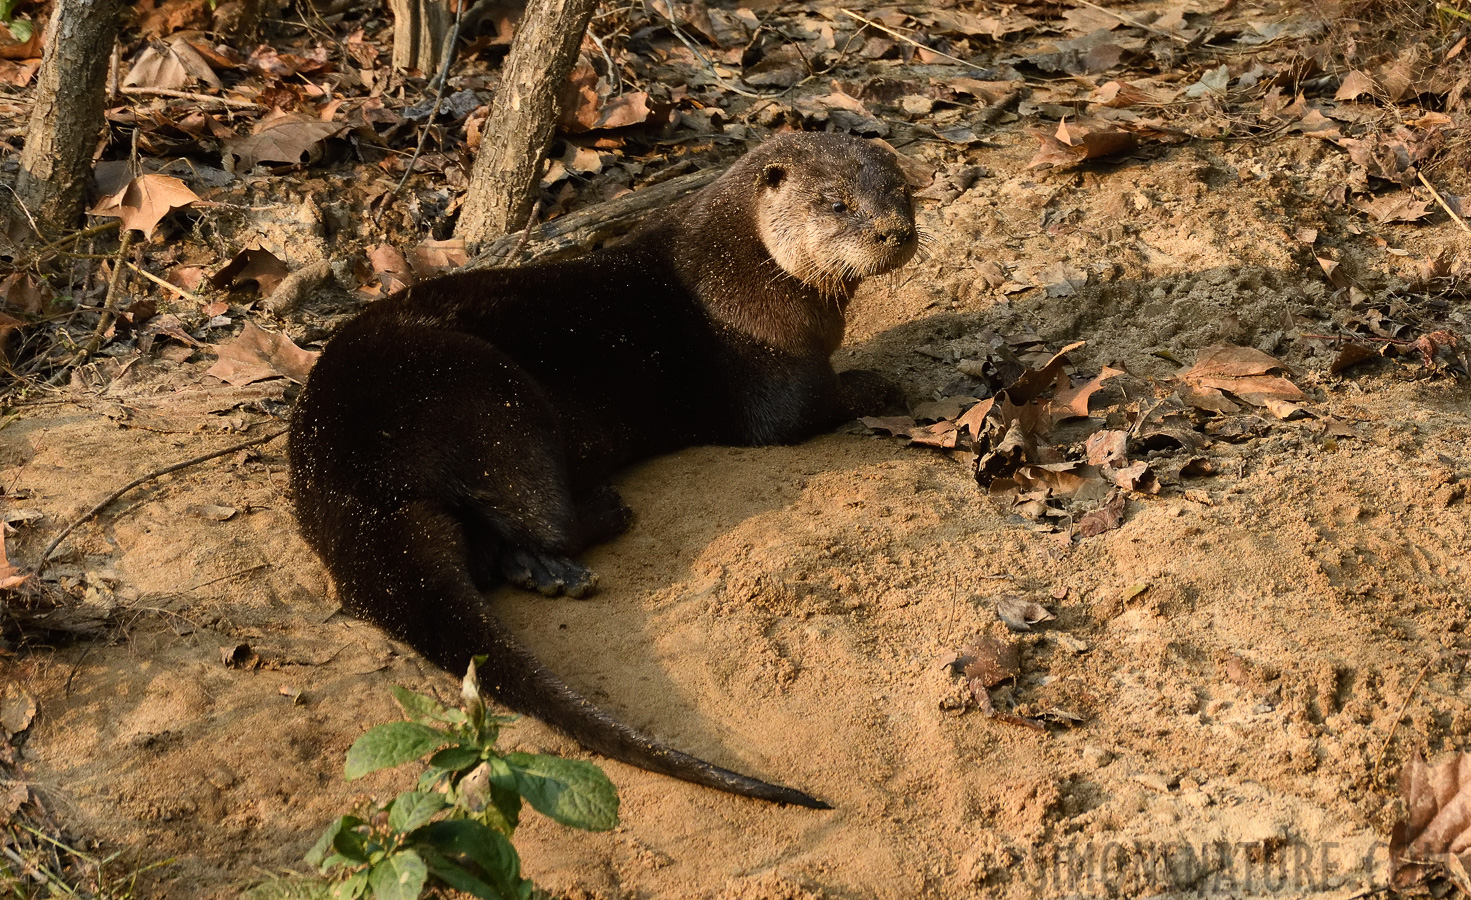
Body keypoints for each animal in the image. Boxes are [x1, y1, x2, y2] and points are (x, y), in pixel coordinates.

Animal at [289, 131, 917, 805]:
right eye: (837, 204)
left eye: (901, 191)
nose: (894, 230)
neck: (737, 275)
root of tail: (336, 472)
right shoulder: (771, 375)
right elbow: (812, 409)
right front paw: (884, 385)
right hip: (485, 392)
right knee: (543, 521)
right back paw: (591, 527)